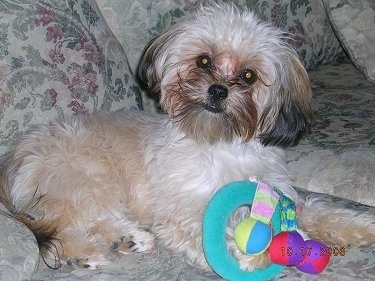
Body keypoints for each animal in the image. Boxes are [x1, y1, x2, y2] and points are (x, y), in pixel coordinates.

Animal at [0, 3, 375, 272]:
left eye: (248, 76)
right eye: (204, 61)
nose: (218, 90)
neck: (220, 144)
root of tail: (12, 162)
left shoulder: (279, 191)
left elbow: (321, 212)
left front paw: (362, 225)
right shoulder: (184, 211)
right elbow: (213, 233)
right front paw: (251, 254)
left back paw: (125, 241)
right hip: (90, 179)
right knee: (68, 230)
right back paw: (98, 250)